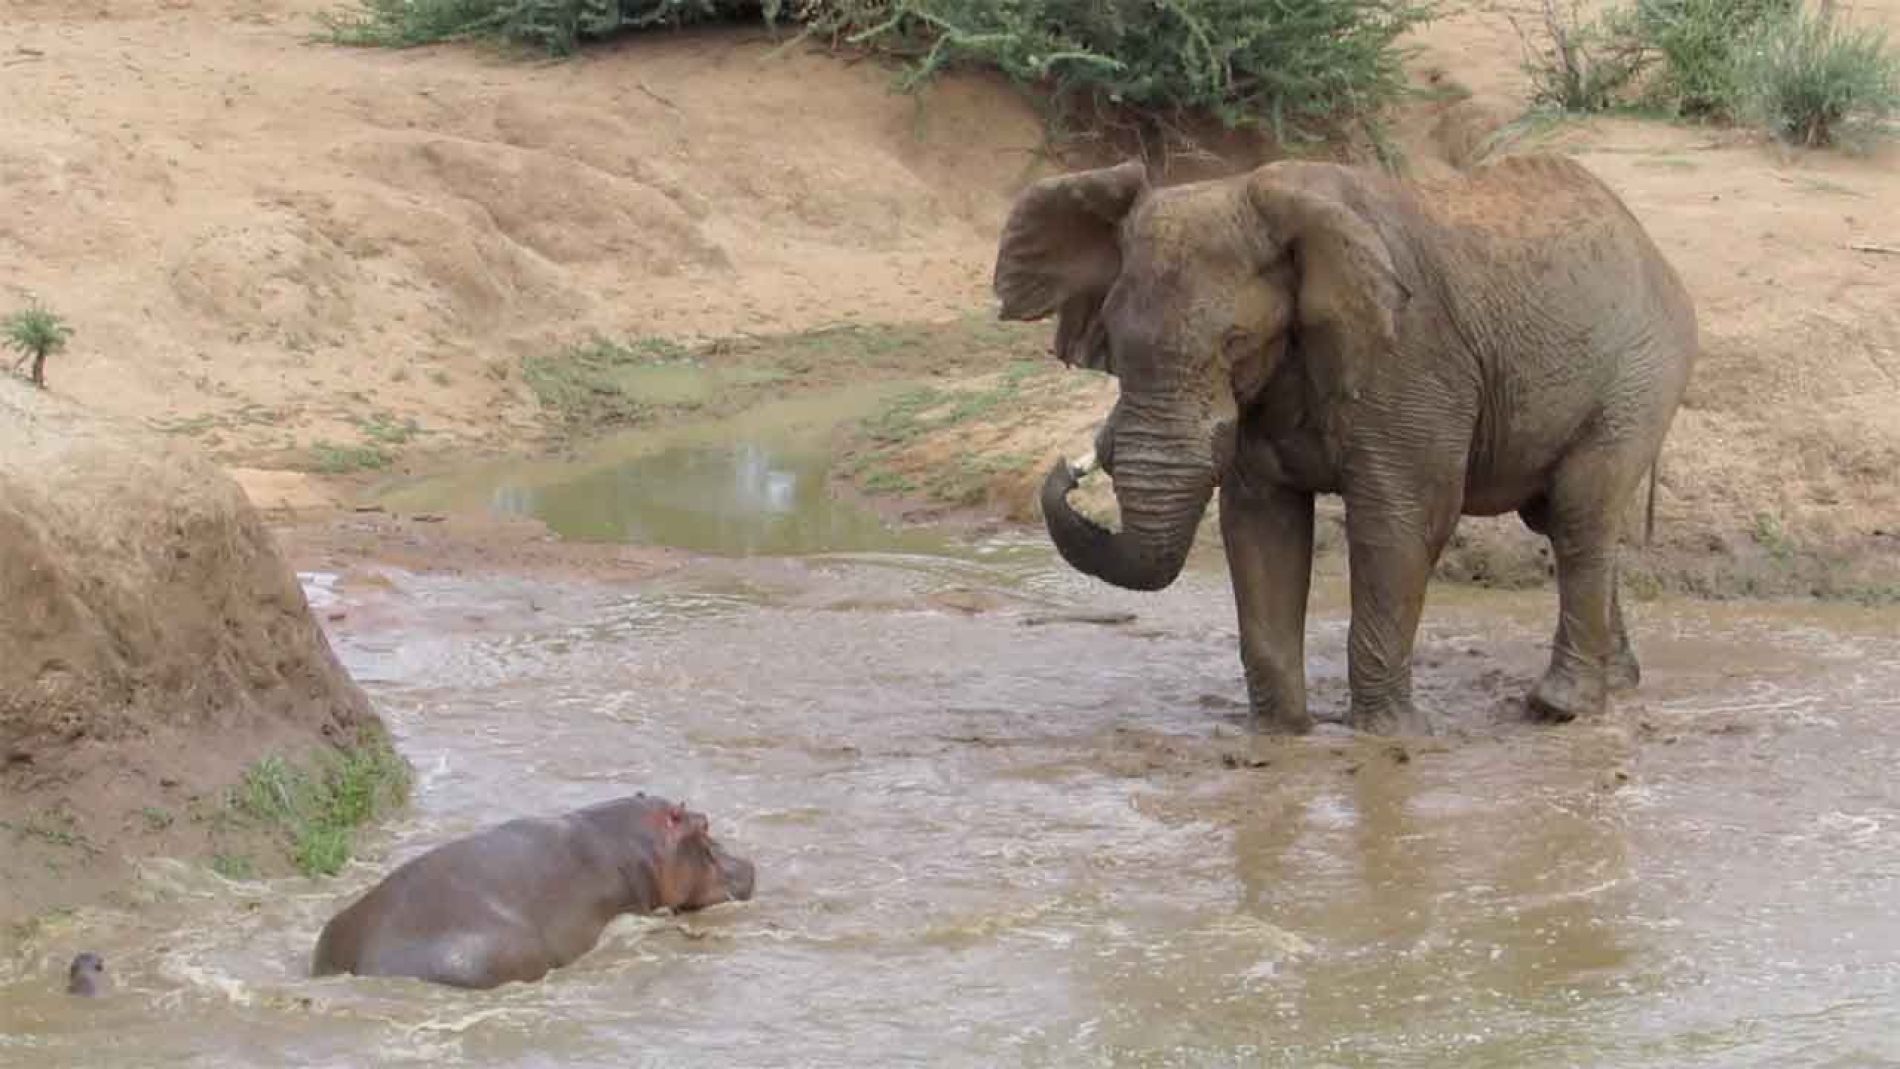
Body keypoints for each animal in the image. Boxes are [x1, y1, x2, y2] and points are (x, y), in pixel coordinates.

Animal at [997, 153, 1697, 735]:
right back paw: (1616, 687)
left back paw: (1558, 709)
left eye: (1235, 343)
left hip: (1641, 368)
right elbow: (1261, 528)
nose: (1067, 470)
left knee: (1580, 510)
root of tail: (1645, 240)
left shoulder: (1411, 356)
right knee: (1559, 517)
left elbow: (1401, 522)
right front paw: (1280, 736)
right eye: (1113, 343)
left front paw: (1389, 739)